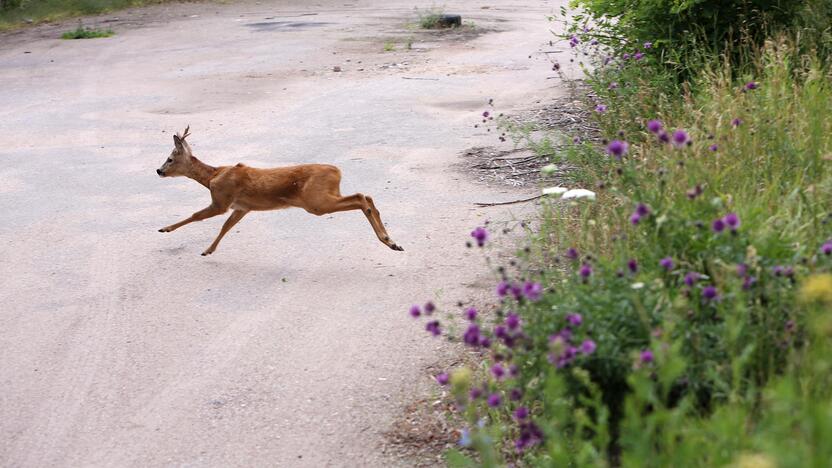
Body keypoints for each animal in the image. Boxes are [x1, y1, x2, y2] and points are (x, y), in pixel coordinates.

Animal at [158, 126, 404, 256]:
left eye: (170, 158)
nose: (159, 170)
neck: (212, 177)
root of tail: (337, 171)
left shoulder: (221, 200)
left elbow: (197, 216)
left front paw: (165, 228)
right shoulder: (242, 208)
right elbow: (226, 227)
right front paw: (209, 249)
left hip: (316, 201)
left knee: (361, 197)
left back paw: (388, 240)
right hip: (323, 197)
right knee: (366, 196)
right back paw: (392, 242)